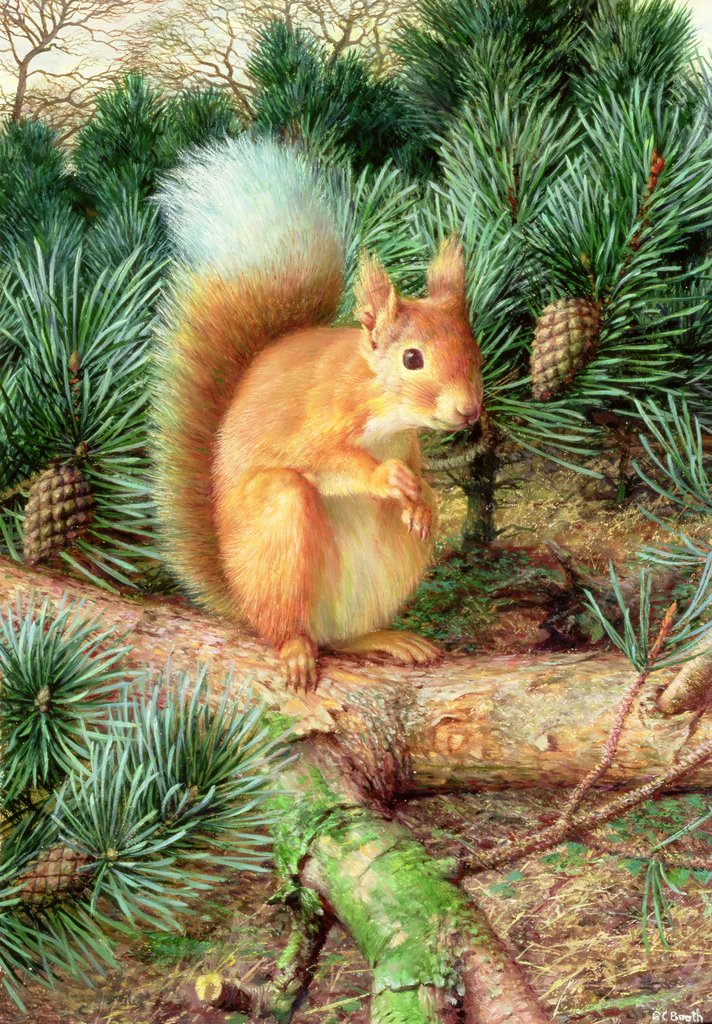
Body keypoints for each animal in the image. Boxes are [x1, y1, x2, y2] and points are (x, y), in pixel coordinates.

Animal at [153, 138, 483, 690]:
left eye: (474, 347)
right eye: (411, 359)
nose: (469, 411)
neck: (382, 408)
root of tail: (241, 601)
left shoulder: (408, 442)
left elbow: (418, 472)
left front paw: (419, 500)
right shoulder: (313, 423)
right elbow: (326, 458)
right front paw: (385, 478)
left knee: (342, 638)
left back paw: (387, 636)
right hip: (277, 533)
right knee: (287, 619)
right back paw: (294, 648)